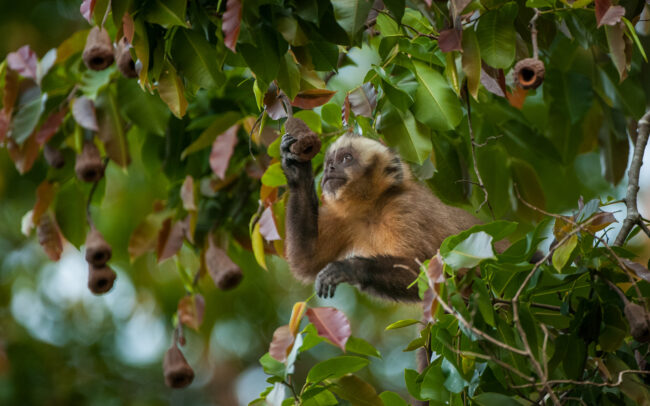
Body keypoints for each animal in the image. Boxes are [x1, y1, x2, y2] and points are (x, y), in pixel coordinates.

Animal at [280, 132, 484, 302]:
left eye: (346, 158)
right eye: (330, 161)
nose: (330, 168)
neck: (374, 208)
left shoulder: (403, 208)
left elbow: (433, 270)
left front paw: (349, 269)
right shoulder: (346, 218)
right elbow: (307, 260)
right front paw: (296, 168)